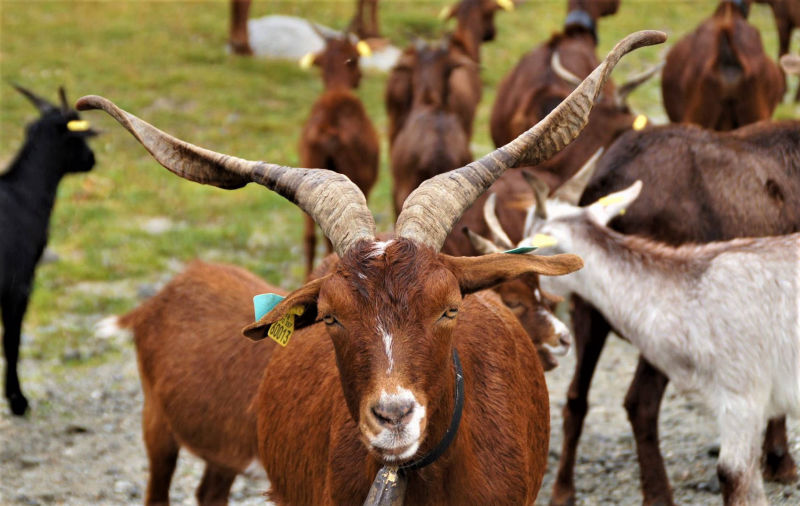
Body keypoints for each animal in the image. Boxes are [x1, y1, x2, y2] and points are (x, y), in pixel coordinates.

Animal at [1, 84, 97, 416]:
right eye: (76, 135)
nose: (92, 159)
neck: (24, 194)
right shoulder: (20, 281)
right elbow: (12, 340)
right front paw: (18, 401)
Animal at [548, 119, 800, 506]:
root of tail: (606, 180)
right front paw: (780, 461)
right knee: (640, 401)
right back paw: (658, 492)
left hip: (590, 309)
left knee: (576, 397)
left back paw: (563, 490)